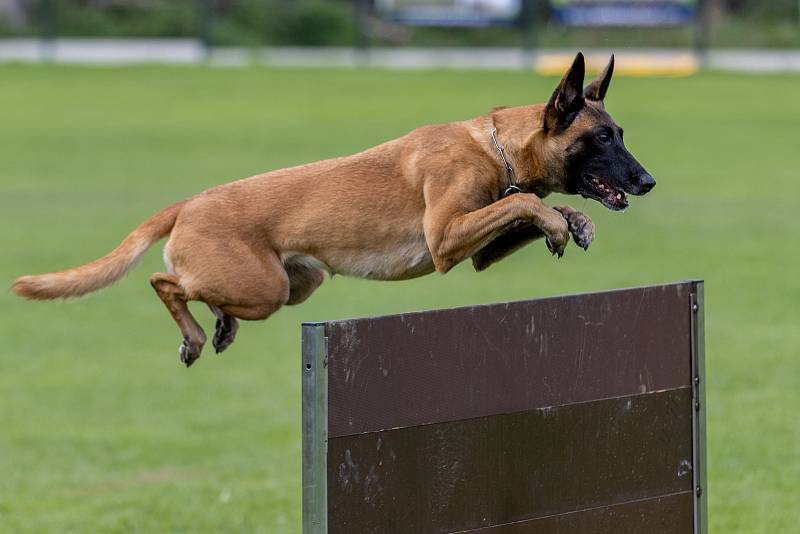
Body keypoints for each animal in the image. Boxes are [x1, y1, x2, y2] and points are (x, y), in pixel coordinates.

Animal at [12, 51, 652, 368]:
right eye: (601, 139)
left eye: (620, 133)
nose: (647, 181)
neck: (495, 145)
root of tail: (188, 202)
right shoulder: (446, 239)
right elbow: (523, 201)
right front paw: (558, 222)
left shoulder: (474, 250)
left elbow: (528, 206)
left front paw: (572, 222)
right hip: (264, 286)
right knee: (164, 281)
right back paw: (195, 335)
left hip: (297, 284)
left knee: (198, 292)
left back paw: (217, 328)